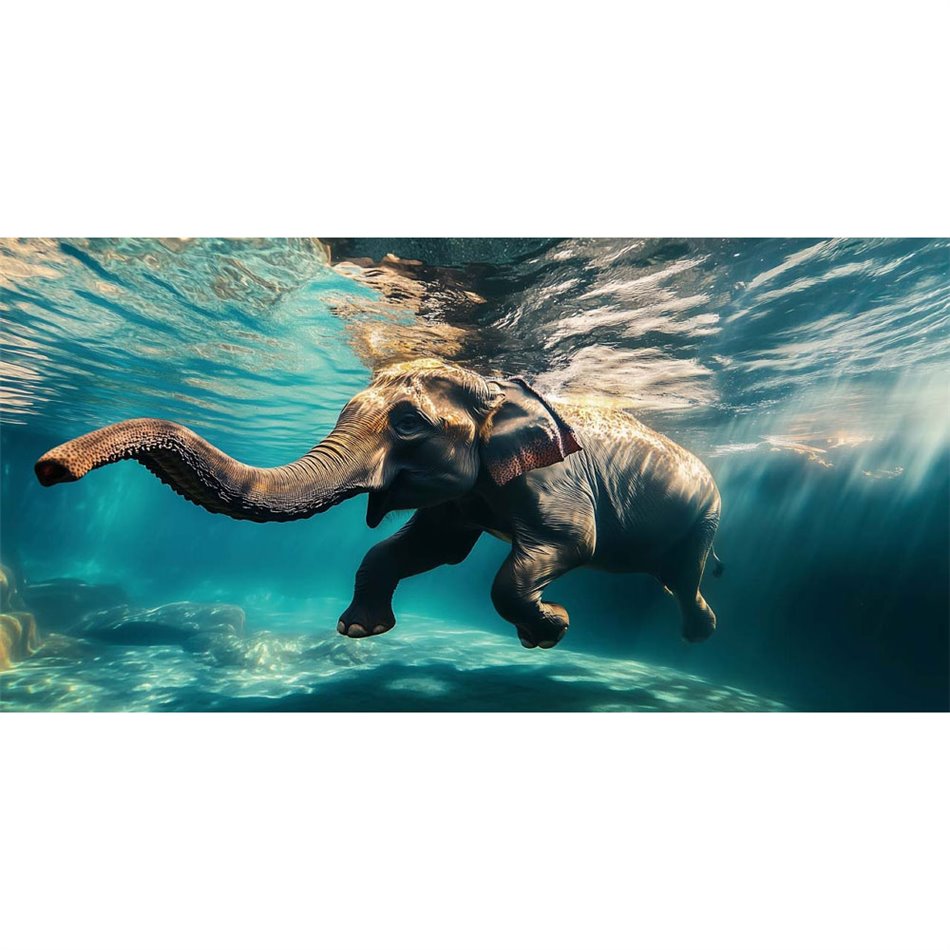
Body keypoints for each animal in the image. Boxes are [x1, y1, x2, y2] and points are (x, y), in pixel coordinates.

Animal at [34, 358, 722, 649]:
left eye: (409, 424)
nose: (49, 469)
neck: (498, 386)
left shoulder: (554, 481)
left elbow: (566, 546)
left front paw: (551, 629)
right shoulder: (463, 498)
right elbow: (426, 548)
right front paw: (358, 632)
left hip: (705, 515)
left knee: (685, 573)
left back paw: (700, 632)